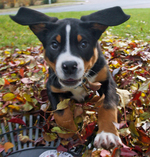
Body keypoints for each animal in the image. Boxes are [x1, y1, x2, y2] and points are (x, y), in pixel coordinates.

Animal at [10, 6, 130, 150]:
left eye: (83, 44)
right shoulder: (52, 88)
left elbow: (108, 105)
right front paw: (71, 137)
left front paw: (107, 134)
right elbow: (61, 115)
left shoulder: (107, 82)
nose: (69, 66)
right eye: (54, 45)